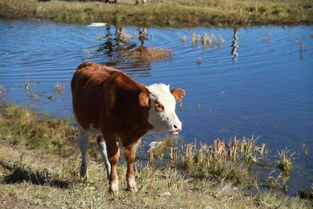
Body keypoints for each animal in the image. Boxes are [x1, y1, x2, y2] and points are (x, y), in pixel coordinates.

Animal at [71, 62, 183, 194]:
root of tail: (87, 63)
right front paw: (113, 186)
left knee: (101, 144)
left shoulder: (133, 137)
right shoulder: (109, 132)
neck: (125, 104)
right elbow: (114, 157)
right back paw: (84, 173)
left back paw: (108, 173)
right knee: (84, 145)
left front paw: (131, 185)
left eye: (174, 104)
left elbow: (130, 158)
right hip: (82, 122)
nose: (177, 125)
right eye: (158, 105)